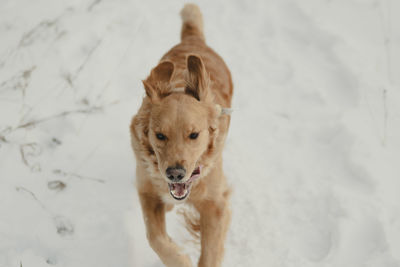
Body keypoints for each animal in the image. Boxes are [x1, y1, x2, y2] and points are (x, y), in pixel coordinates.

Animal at [130, 4, 233, 267]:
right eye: (160, 135)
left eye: (194, 135)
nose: (174, 174)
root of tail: (193, 39)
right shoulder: (147, 190)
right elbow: (155, 237)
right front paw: (180, 259)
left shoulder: (215, 203)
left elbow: (210, 252)